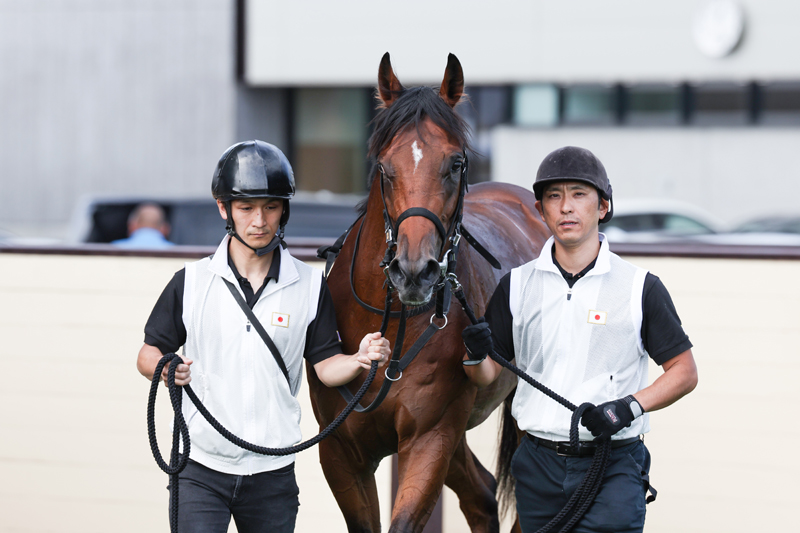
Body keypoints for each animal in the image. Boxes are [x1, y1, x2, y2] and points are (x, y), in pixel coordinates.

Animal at [307, 53, 550, 533]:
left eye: (455, 163)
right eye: (384, 166)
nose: (414, 272)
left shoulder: (430, 436)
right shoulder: (341, 453)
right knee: (481, 494)